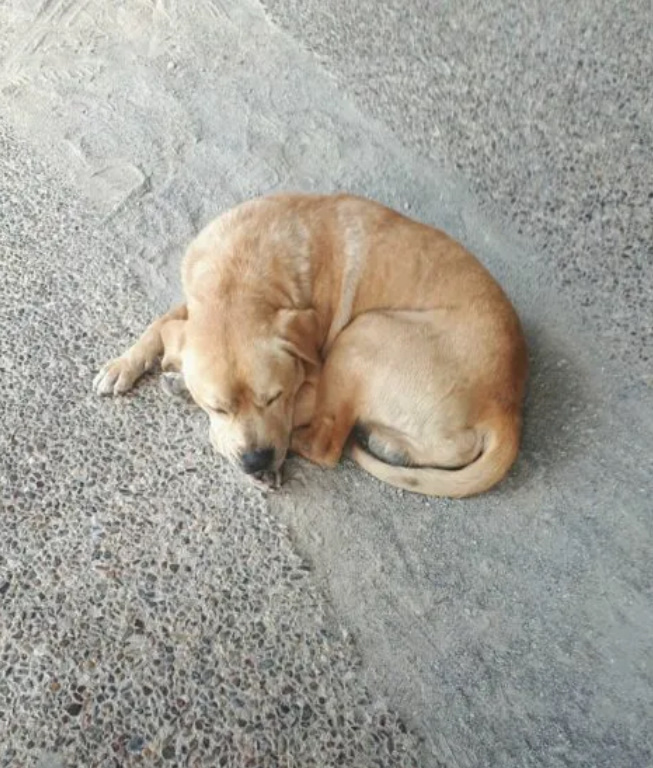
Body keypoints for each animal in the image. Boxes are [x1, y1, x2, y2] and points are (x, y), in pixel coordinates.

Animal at [94, 194, 528, 498]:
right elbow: (162, 324)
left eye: (275, 396)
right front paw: (124, 363)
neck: (242, 273)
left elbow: (287, 424)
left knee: (326, 444)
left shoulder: (314, 377)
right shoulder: (193, 305)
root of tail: (506, 406)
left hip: (363, 335)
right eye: (218, 406)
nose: (257, 460)